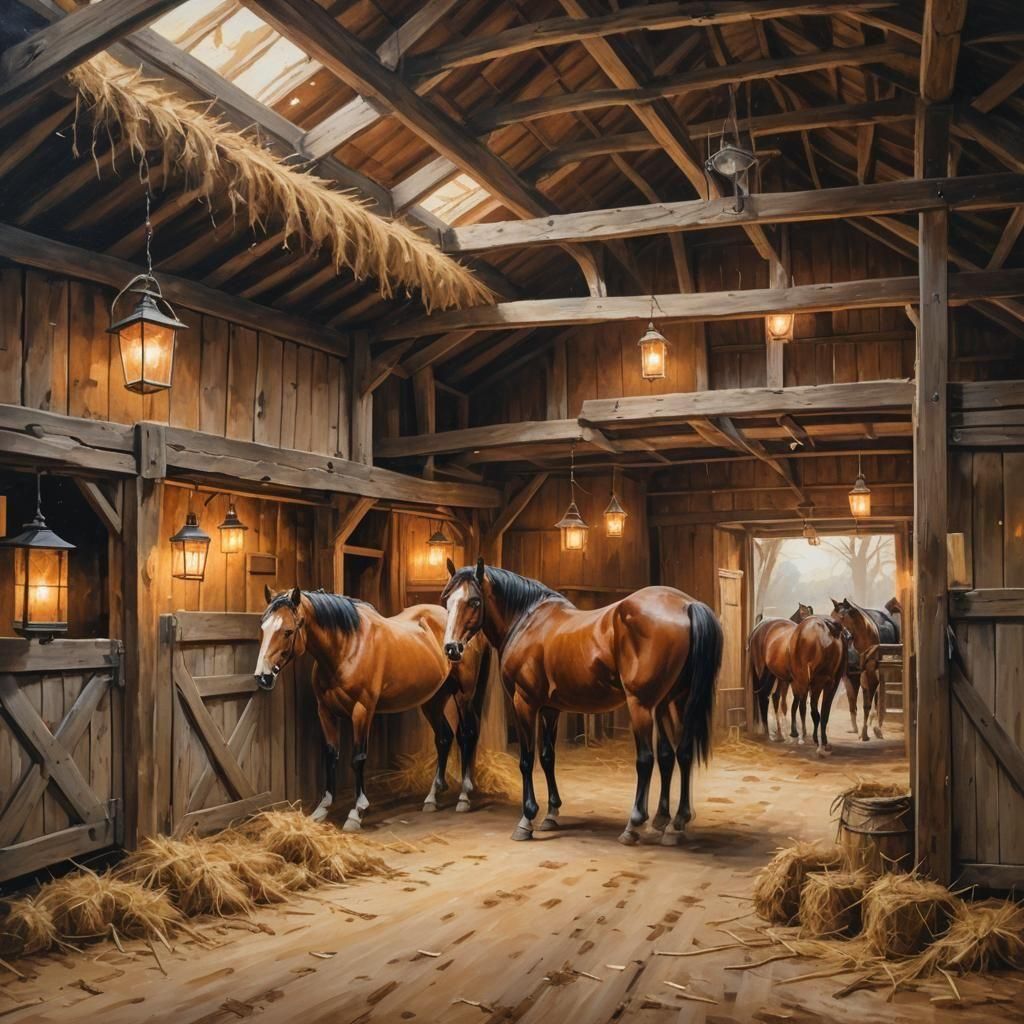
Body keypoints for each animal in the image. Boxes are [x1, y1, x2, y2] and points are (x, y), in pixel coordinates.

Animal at [255, 586, 490, 830]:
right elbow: (330, 755)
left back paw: (464, 796)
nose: (263, 676)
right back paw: (432, 797)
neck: (347, 647)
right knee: (444, 737)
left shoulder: (362, 711)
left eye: (288, 631)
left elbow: (357, 758)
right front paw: (322, 808)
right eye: (263, 627)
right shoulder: (325, 711)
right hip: (433, 700)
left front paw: (356, 812)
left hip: (463, 695)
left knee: (466, 734)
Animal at [440, 560, 722, 846]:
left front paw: (526, 820)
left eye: (474, 601)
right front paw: (551, 814)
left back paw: (634, 825)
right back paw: (672, 823)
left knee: (647, 759)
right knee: (677, 755)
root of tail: (686, 605)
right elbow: (547, 757)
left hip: (643, 705)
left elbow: (527, 760)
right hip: (671, 702)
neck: (527, 622)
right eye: (447, 600)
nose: (451, 648)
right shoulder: (550, 709)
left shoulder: (525, 703)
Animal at [748, 614, 847, 755]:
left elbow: (822, 713)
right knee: (764, 697)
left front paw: (822, 741)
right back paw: (768, 733)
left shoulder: (829, 686)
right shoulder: (808, 683)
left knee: (773, 697)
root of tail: (759, 627)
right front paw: (808, 738)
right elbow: (807, 709)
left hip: (774, 675)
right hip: (762, 670)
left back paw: (778, 734)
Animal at [831, 597, 887, 741]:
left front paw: (868, 731)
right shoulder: (854, 678)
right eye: (831, 615)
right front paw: (863, 731)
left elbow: (870, 704)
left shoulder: (870, 678)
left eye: (842, 617)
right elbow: (857, 704)